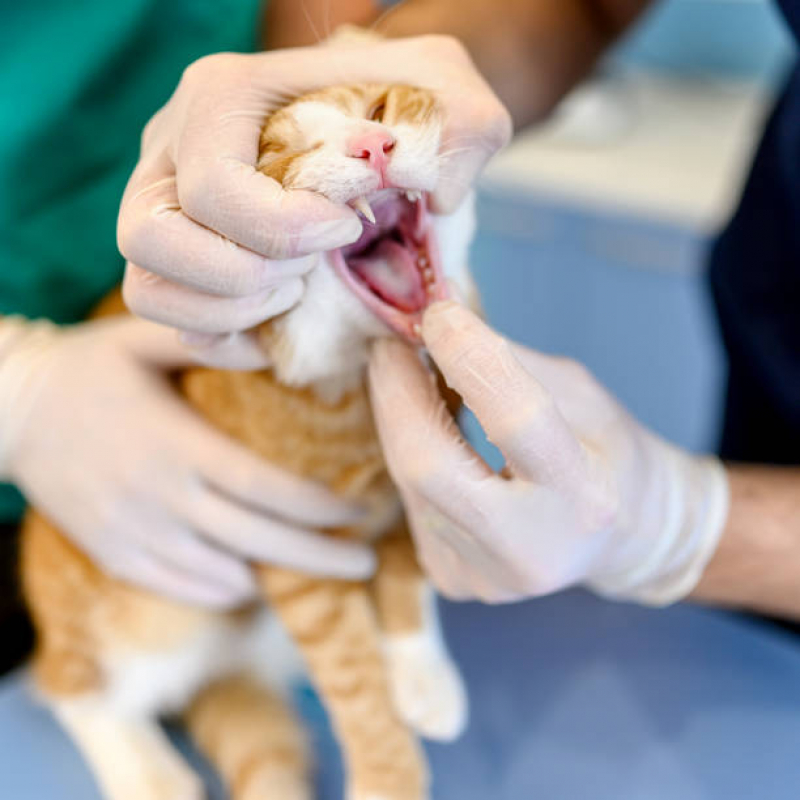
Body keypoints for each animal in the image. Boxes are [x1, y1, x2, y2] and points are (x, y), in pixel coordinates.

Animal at [21, 81, 478, 800]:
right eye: (283, 152)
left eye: (379, 109)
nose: (372, 146)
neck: (352, 387)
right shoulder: (298, 562)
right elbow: (356, 684)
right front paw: (388, 776)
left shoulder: (420, 471)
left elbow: (408, 569)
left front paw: (420, 672)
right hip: (146, 613)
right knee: (71, 684)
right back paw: (147, 772)